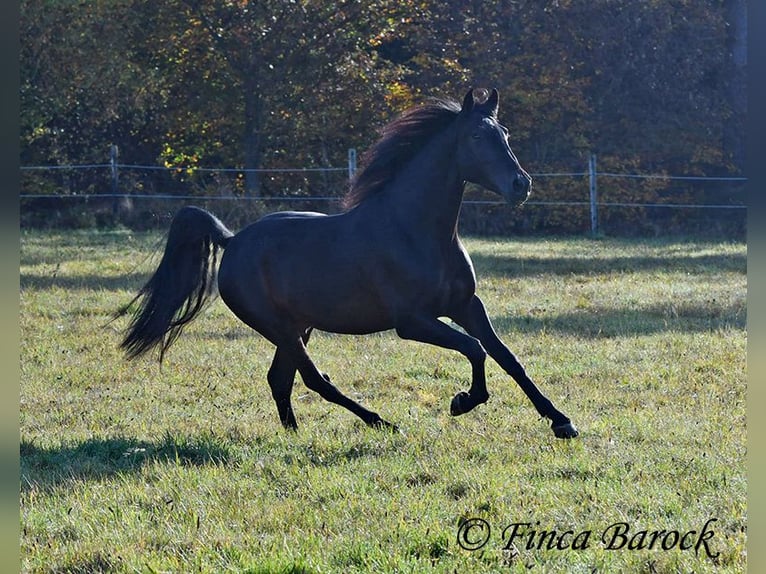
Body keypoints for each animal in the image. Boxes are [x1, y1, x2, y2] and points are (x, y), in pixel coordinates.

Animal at [118, 89, 576, 440]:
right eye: (479, 135)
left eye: (505, 133)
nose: (521, 185)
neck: (417, 231)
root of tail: (232, 241)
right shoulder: (412, 322)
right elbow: (476, 349)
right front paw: (462, 401)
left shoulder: (466, 305)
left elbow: (507, 357)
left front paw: (561, 422)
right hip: (279, 327)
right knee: (311, 379)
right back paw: (382, 422)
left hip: (299, 326)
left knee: (281, 379)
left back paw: (295, 434)